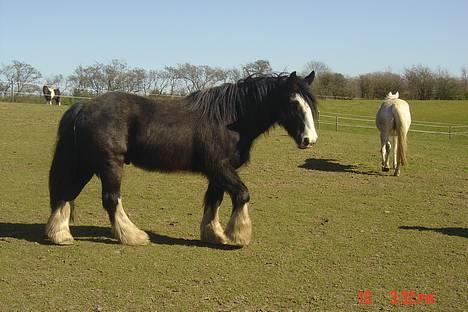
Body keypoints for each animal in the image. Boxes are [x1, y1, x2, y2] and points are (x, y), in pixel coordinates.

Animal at [46, 70, 318, 246]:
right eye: (293, 102)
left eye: (310, 103)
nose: (309, 139)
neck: (227, 120)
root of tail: (82, 107)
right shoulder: (220, 168)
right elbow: (242, 194)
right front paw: (237, 235)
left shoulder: (217, 173)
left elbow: (214, 201)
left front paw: (214, 235)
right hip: (109, 164)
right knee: (111, 199)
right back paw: (133, 236)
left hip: (85, 163)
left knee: (66, 192)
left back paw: (60, 235)